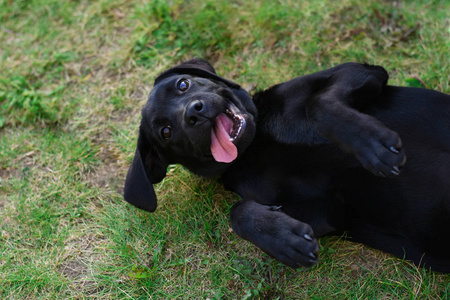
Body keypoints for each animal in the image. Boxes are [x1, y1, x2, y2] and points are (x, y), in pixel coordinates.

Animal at [123, 58, 450, 272]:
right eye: (166, 131)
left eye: (183, 84)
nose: (194, 112)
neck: (255, 147)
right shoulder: (330, 209)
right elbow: (237, 212)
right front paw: (285, 242)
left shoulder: (362, 72)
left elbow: (318, 106)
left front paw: (373, 145)